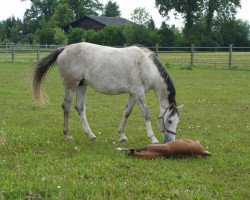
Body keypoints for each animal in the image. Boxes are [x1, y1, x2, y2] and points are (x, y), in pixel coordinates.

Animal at [32, 42, 182, 143]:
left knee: (79, 108)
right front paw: (153, 138)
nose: (170, 141)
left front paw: (122, 136)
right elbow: (146, 114)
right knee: (67, 107)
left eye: (177, 121)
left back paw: (91, 135)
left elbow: (126, 113)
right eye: (169, 120)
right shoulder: (138, 92)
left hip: (82, 85)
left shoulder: (133, 93)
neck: (146, 65)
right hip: (71, 86)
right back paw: (68, 134)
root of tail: (64, 48)